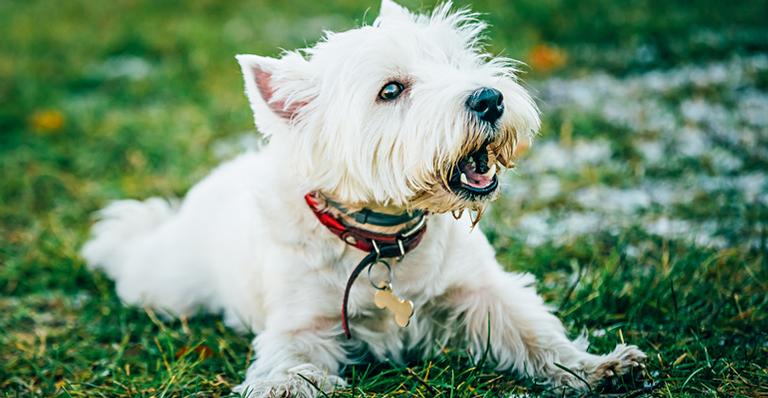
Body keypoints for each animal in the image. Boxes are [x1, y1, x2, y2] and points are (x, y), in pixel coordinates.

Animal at [81, 1, 644, 396]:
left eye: (453, 61)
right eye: (391, 90)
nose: (490, 99)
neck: (383, 239)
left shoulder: (480, 290)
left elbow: (533, 331)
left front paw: (600, 367)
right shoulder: (300, 322)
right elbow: (291, 357)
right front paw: (288, 384)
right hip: (166, 282)